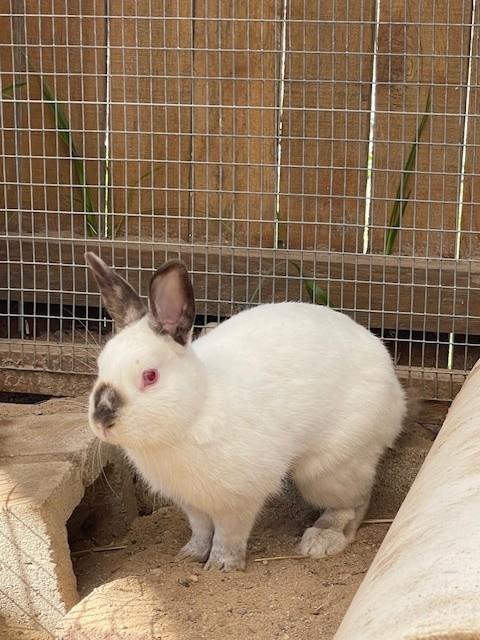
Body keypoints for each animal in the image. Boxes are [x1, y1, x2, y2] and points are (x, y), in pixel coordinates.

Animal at [85, 252, 406, 571]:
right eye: (101, 366)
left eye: (150, 376)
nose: (101, 421)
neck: (196, 409)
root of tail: (396, 391)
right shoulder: (191, 503)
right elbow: (200, 529)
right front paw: (190, 555)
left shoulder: (238, 500)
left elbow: (229, 534)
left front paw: (221, 566)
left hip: (330, 468)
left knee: (356, 501)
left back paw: (322, 539)